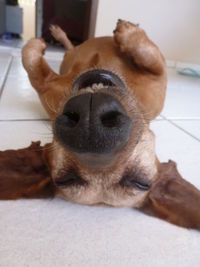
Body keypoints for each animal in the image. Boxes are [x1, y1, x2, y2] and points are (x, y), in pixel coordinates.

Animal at [0, 20, 200, 230]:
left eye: (140, 182)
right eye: (67, 179)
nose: (91, 126)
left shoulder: (158, 77)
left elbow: (151, 56)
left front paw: (130, 36)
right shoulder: (48, 87)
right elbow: (30, 61)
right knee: (69, 50)